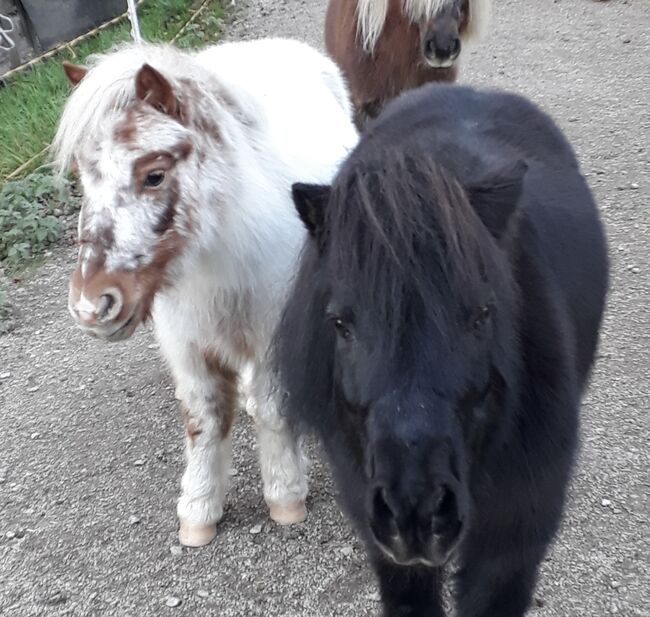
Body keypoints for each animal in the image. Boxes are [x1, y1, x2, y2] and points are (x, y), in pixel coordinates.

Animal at [54, 39, 360, 544]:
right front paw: (198, 513)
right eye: (83, 177)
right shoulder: (188, 345)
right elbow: (205, 420)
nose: (92, 305)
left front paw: (285, 498)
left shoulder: (272, 329)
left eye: (154, 175)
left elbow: (274, 409)